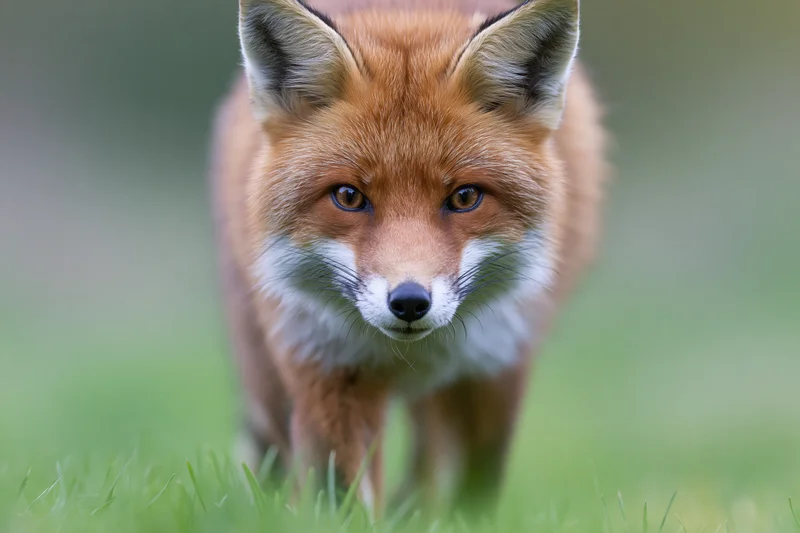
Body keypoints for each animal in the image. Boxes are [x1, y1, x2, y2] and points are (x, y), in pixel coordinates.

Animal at [210, 0, 606, 516]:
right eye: (348, 196)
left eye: (464, 197)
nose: (410, 302)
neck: (412, 354)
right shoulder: (326, 365)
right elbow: (341, 496)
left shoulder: (494, 365)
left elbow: (471, 494)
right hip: (264, 365)